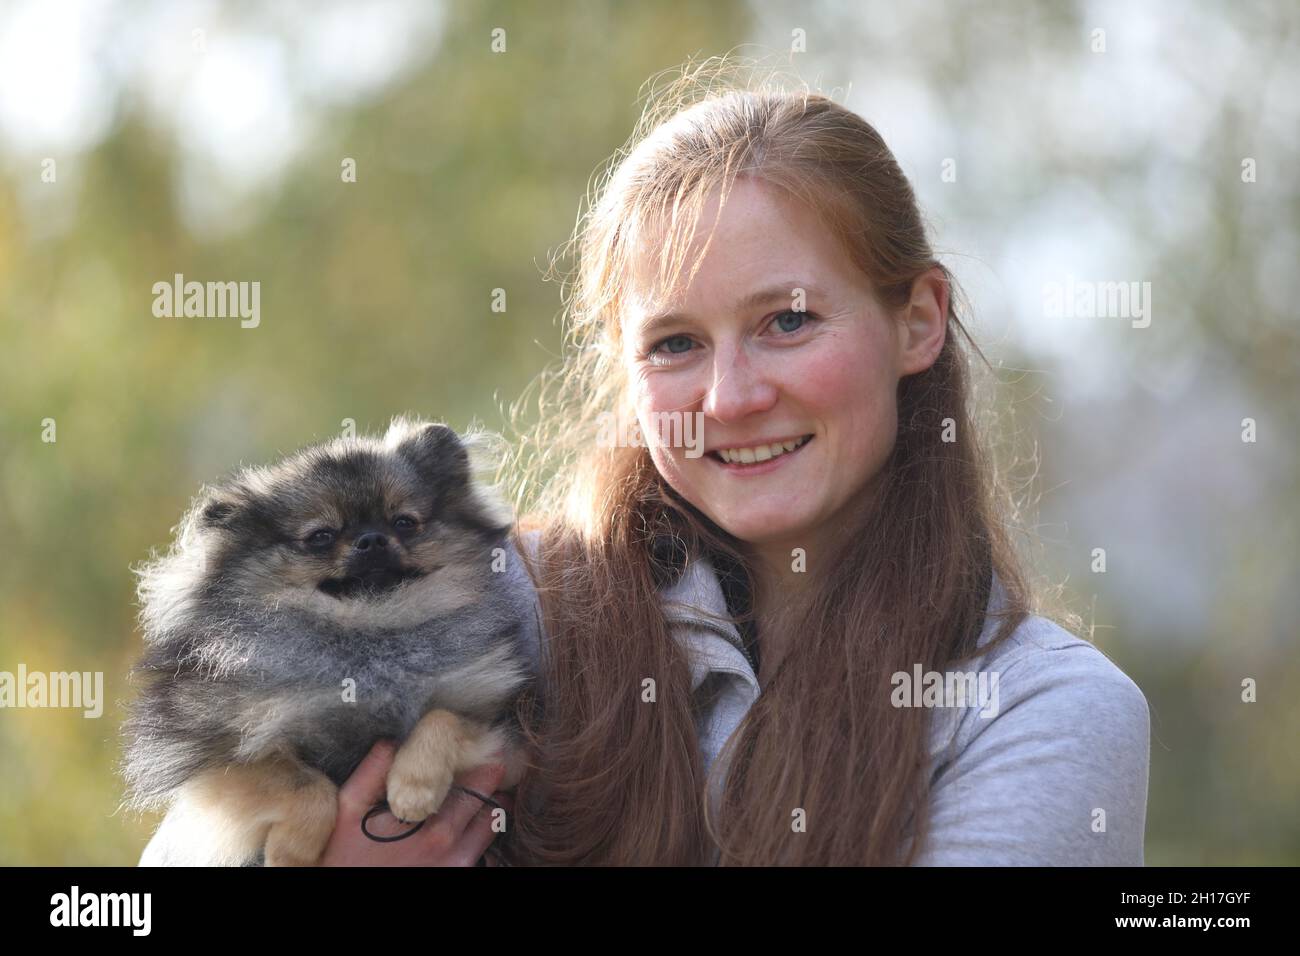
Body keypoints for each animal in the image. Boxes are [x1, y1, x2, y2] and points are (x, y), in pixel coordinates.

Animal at [116, 418, 533, 868]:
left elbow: (444, 719)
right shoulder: (218, 759)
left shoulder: (501, 735)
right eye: (321, 536)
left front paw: (413, 789)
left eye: (404, 522)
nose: (372, 539)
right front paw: (292, 851)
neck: (368, 642)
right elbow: (299, 781)